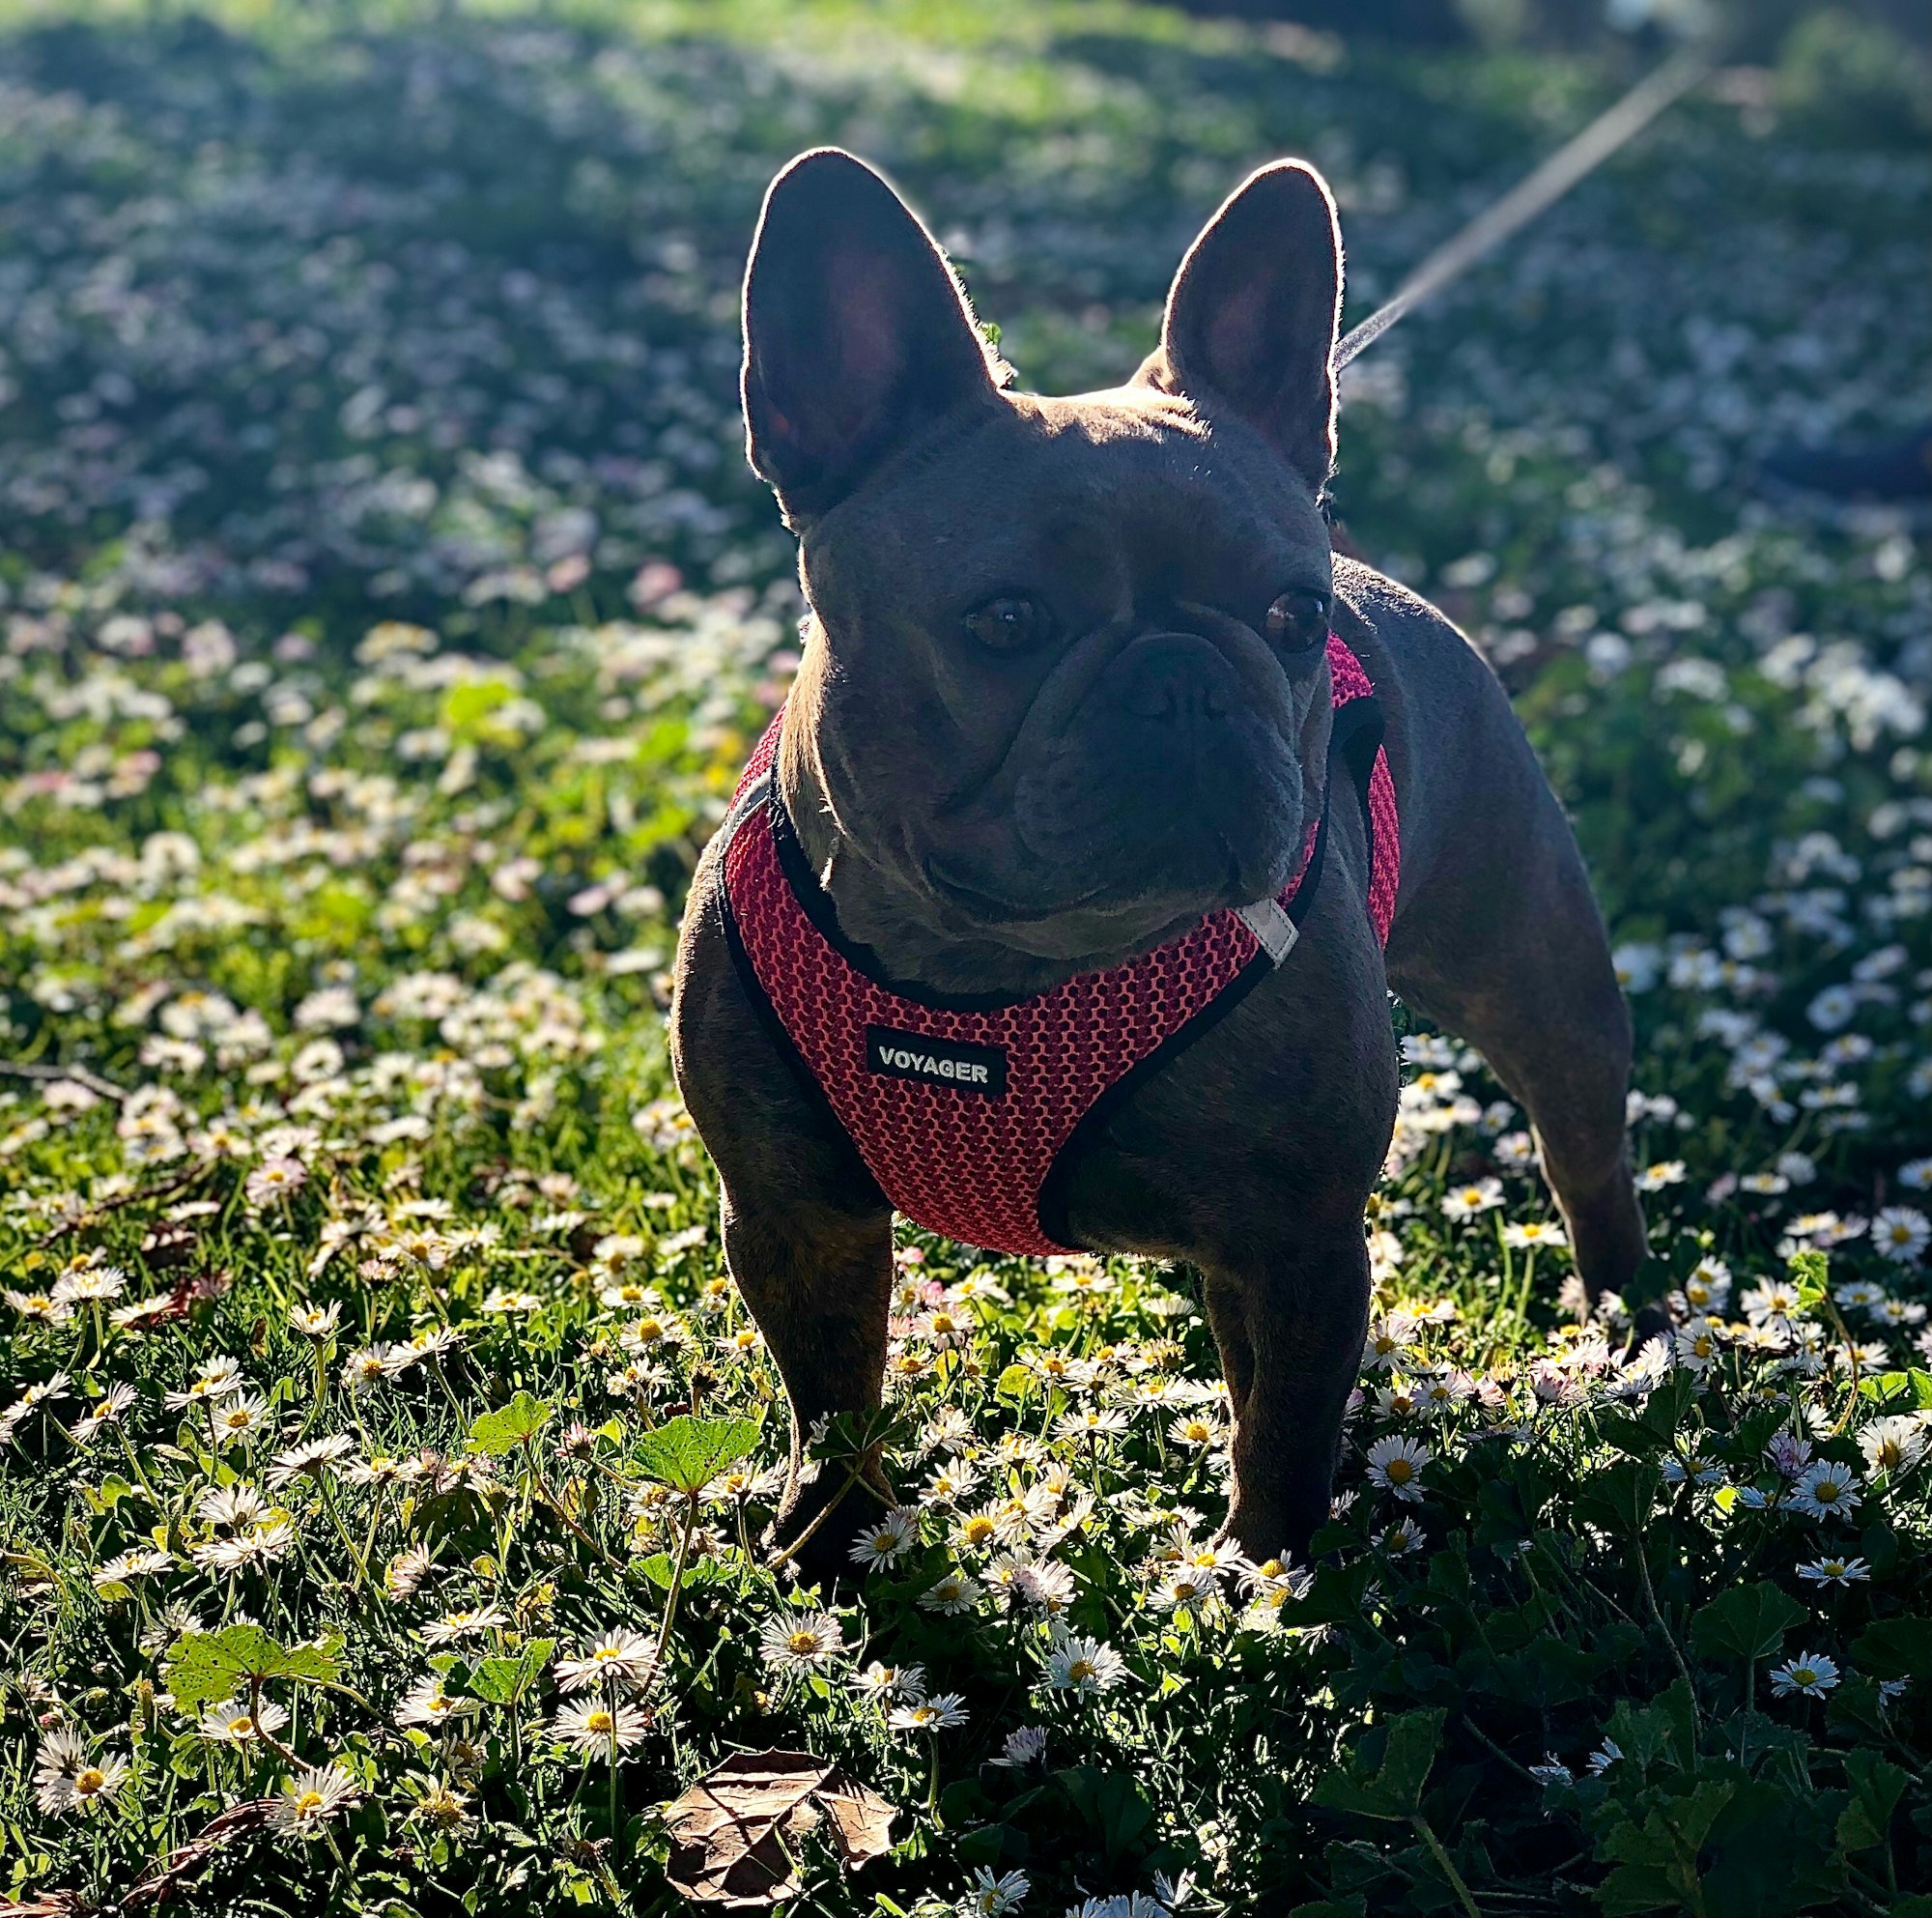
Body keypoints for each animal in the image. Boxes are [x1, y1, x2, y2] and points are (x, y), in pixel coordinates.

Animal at [668, 150, 1646, 1577]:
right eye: (1005, 621)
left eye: (1291, 614)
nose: (1184, 680)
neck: (993, 969)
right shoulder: (795, 1213)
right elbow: (832, 1392)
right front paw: (829, 1540)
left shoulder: (1298, 1238)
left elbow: (1281, 1427)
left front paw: (1265, 1577)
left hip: (1541, 986)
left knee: (1586, 1163)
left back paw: (1636, 1333)